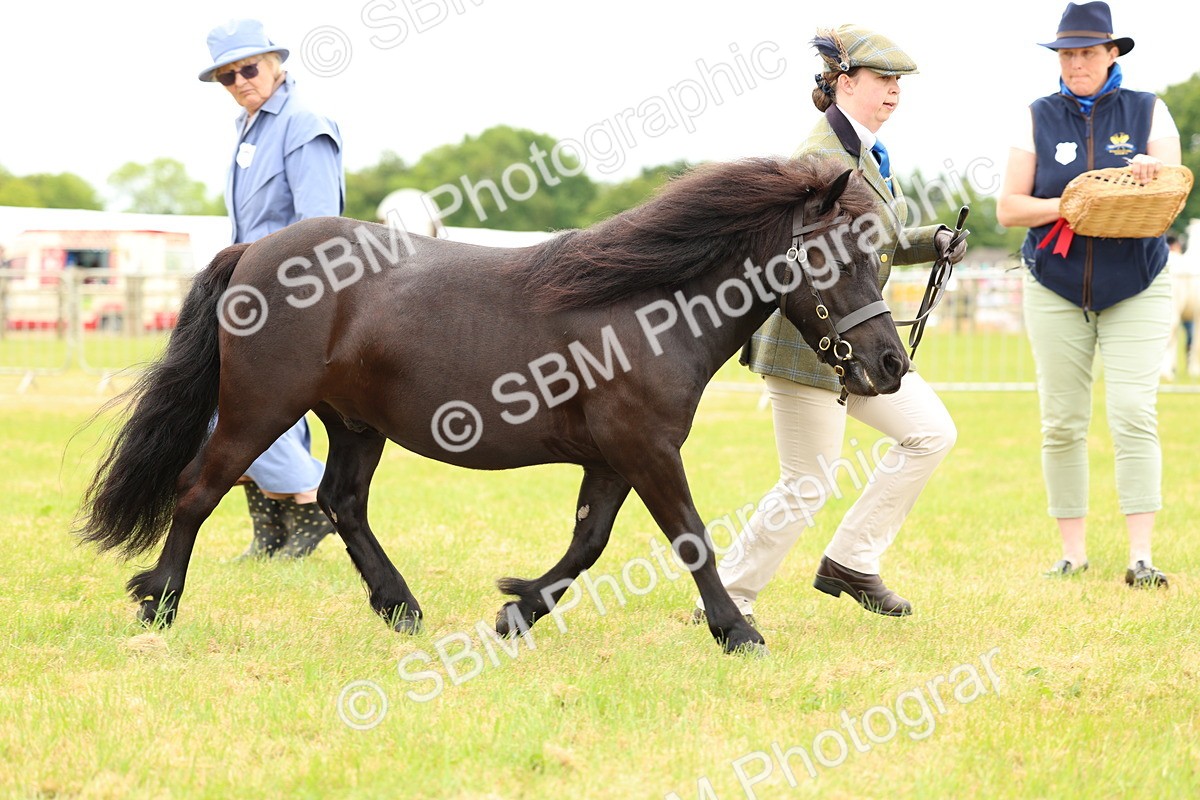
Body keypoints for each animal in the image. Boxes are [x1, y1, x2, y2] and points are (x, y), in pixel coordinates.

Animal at [76, 154, 910, 654]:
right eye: (838, 255)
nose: (892, 365)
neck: (645, 305)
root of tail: (253, 249)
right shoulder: (646, 450)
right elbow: (691, 540)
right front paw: (737, 632)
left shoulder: (615, 459)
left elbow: (587, 544)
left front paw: (517, 609)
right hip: (259, 410)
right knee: (198, 489)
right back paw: (159, 604)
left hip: (355, 424)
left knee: (343, 502)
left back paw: (400, 607)